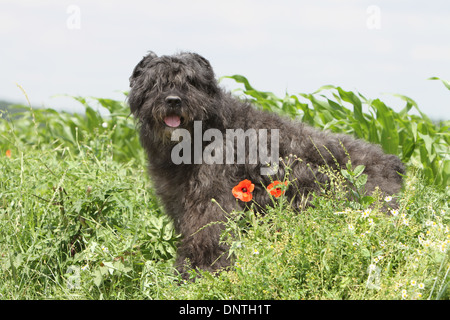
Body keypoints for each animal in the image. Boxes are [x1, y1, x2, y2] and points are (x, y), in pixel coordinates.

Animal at [127, 51, 404, 278]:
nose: (173, 100)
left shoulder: (212, 201)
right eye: (156, 82)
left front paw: (199, 273)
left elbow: (208, 236)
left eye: (190, 81)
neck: (204, 132)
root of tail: (391, 162)